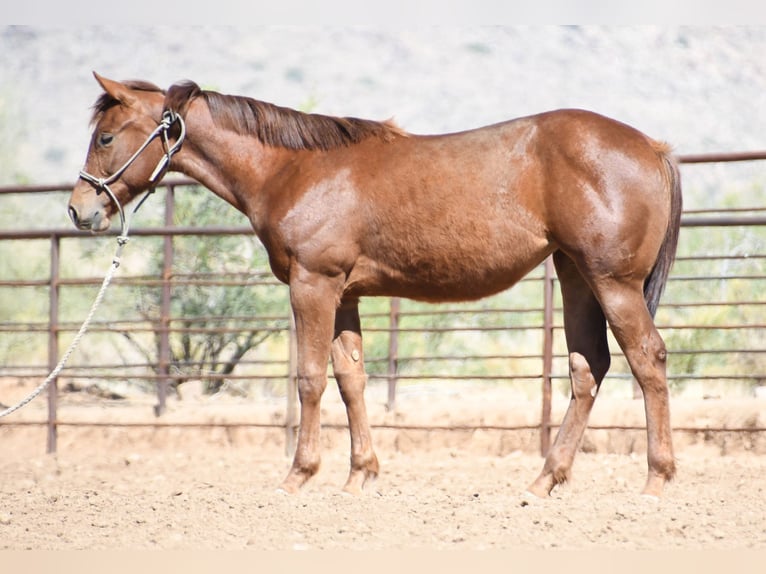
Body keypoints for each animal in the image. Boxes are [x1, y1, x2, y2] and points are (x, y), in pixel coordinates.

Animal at [69, 72, 682, 498]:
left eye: (106, 136)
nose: (80, 210)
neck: (292, 170)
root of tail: (653, 147)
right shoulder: (345, 295)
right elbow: (351, 380)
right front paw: (359, 476)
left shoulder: (312, 285)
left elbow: (310, 379)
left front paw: (298, 476)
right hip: (576, 275)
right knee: (588, 368)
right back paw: (543, 481)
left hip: (613, 281)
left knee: (648, 359)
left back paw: (655, 481)